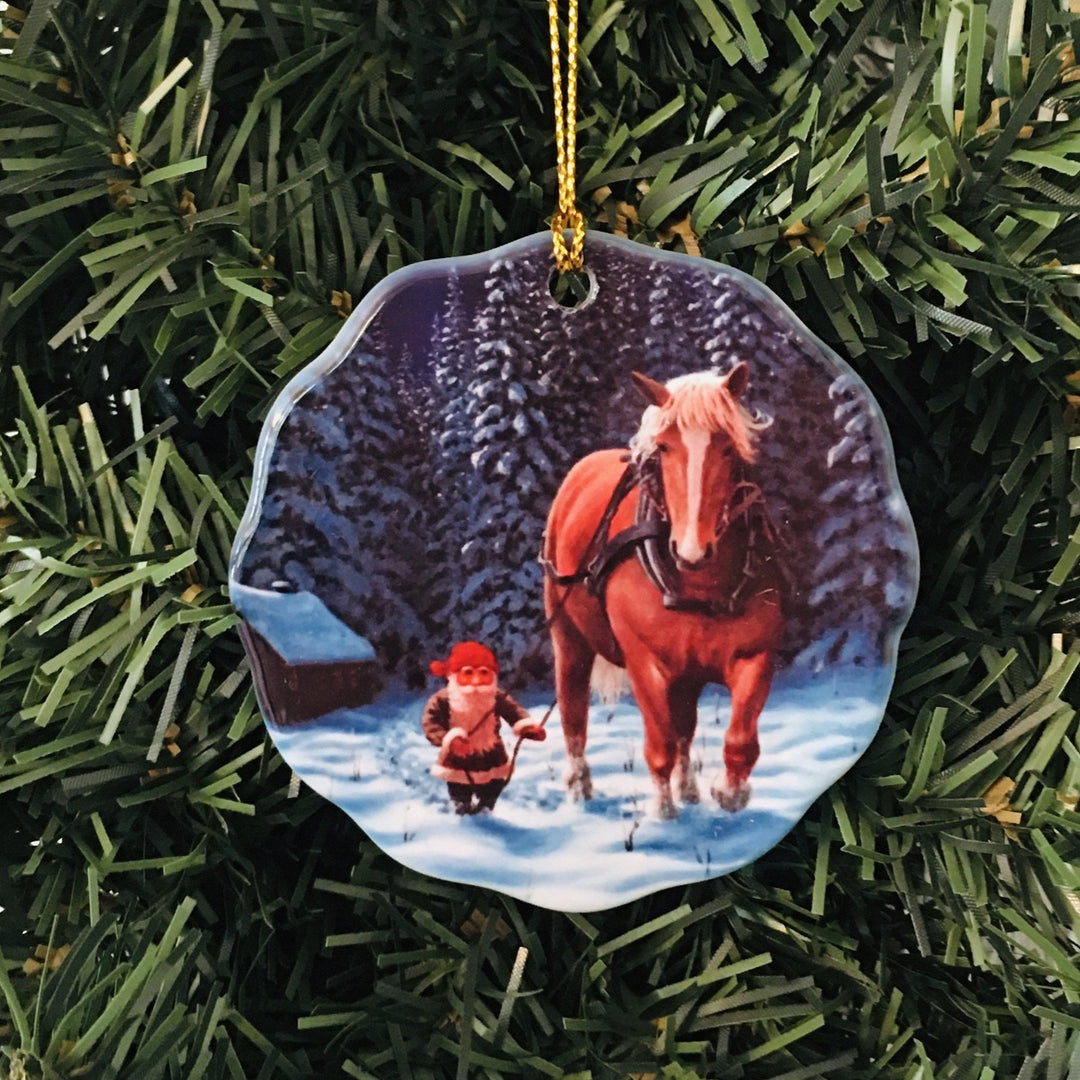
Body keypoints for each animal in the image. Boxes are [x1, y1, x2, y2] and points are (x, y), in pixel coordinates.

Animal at [540, 369, 786, 816]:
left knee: (686, 726)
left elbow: (739, 738)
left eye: (728, 447)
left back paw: (688, 789)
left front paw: (729, 792)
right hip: (569, 636)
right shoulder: (644, 663)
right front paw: (663, 812)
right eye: (665, 447)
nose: (692, 550)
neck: (699, 584)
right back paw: (579, 786)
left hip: (688, 674)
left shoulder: (755, 655)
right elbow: (660, 744)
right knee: (573, 712)